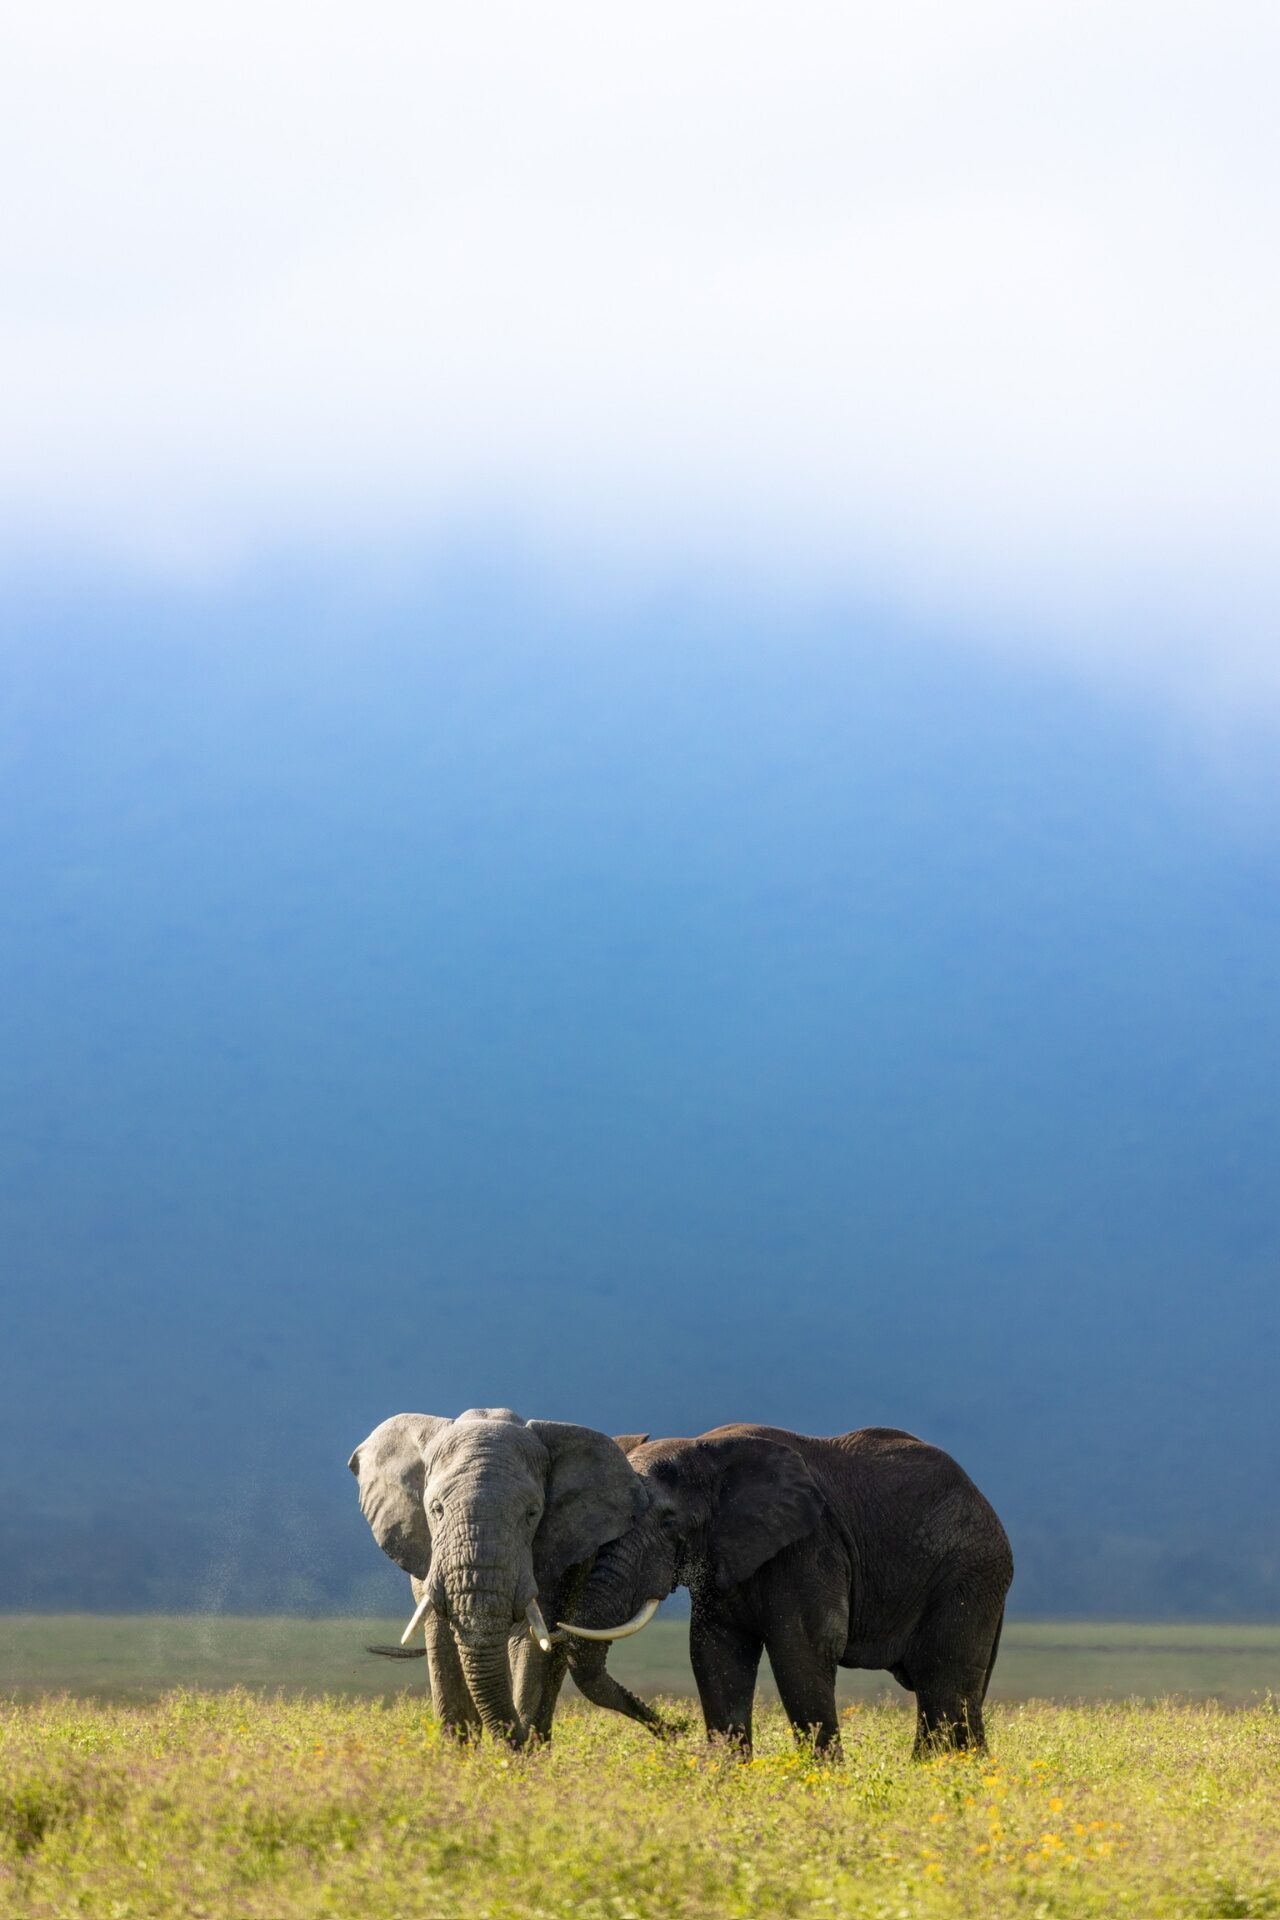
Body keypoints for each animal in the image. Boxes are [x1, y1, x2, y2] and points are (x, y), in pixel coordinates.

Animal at [347, 1407, 667, 1747]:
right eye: (436, 1510)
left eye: (532, 1513)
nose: (675, 1729)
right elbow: (442, 1639)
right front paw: (457, 1755)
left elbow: (534, 1639)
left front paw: (524, 1753)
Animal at [556, 1424, 1013, 1758]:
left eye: (669, 1523)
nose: (674, 1730)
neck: (705, 1450)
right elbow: (715, 1655)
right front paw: (726, 1778)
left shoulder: (809, 1546)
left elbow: (804, 1649)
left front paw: (824, 1781)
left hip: (968, 1570)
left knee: (945, 1681)